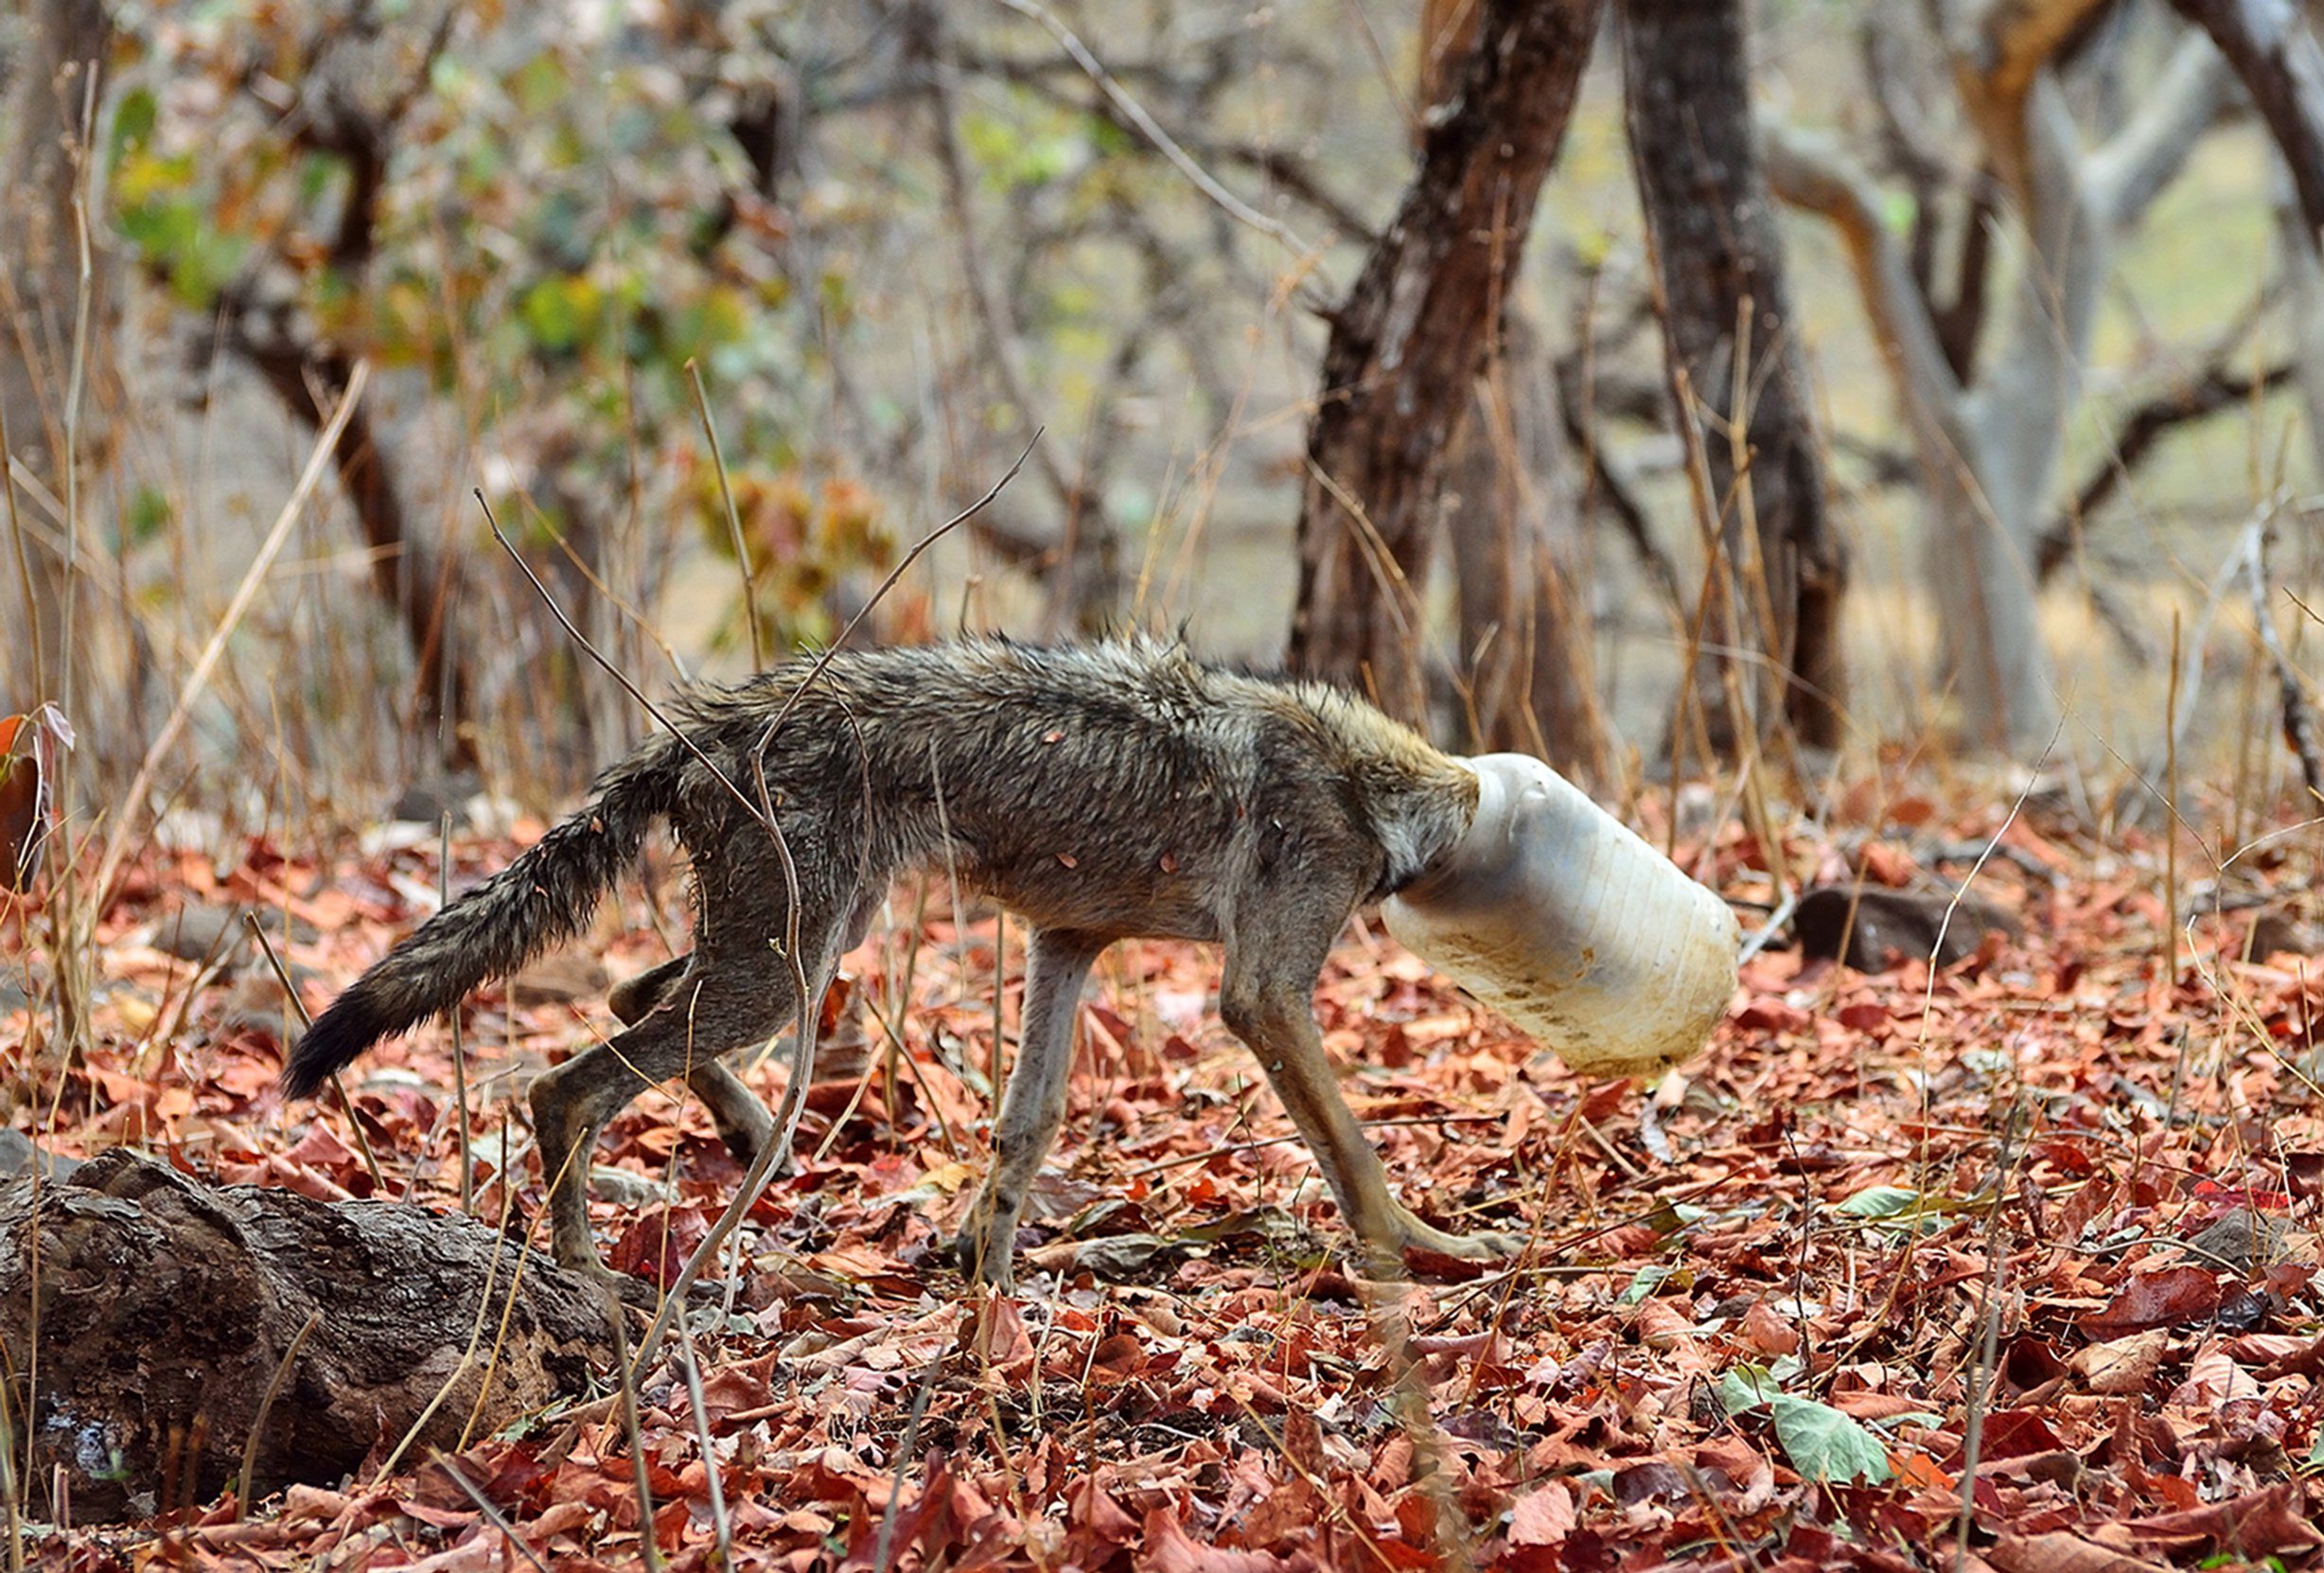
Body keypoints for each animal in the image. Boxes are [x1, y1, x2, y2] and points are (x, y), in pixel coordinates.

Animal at [284, 637, 1527, 1290]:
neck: (1370, 786)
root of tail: (696, 732)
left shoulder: (1064, 945)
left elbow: (1026, 1125)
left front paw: (987, 1268)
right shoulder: (1261, 997)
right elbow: (1354, 1152)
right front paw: (1429, 1251)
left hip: (800, 952)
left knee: (629, 998)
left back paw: (748, 1133)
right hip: (782, 972)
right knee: (564, 1084)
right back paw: (587, 1271)